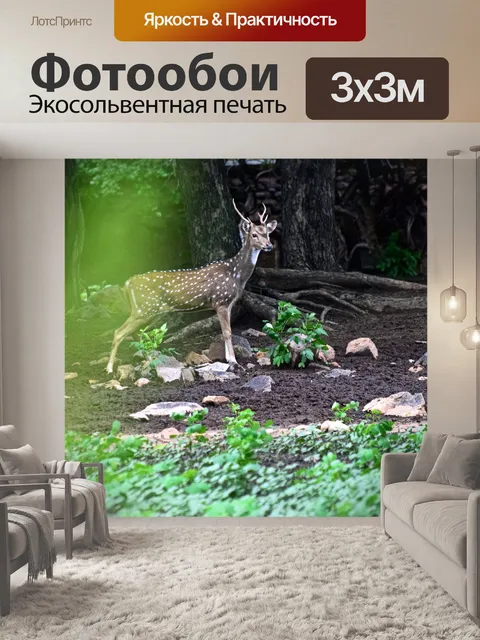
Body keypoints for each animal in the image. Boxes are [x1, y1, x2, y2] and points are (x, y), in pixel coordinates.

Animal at [106, 200, 277, 374]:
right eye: (254, 234)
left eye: (267, 233)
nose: (269, 245)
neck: (236, 275)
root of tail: (128, 283)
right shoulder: (220, 301)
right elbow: (227, 333)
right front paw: (233, 362)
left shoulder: (229, 304)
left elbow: (226, 332)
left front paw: (230, 359)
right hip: (143, 309)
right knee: (118, 332)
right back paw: (109, 368)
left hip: (147, 311)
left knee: (136, 334)